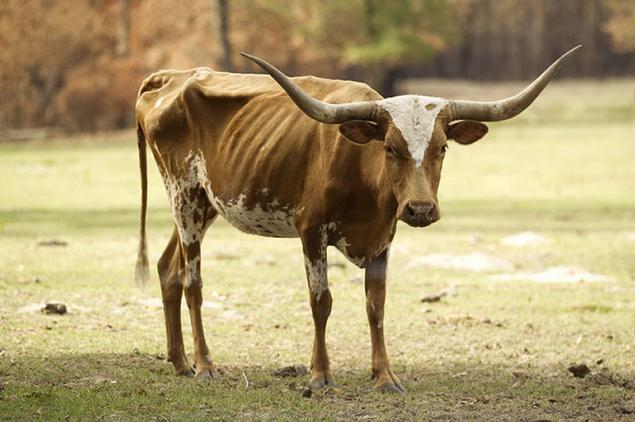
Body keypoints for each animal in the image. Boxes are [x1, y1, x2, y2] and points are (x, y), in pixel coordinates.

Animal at [134, 46, 580, 392]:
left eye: (442, 147)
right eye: (390, 147)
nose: (420, 209)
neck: (364, 179)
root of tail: (169, 78)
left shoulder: (384, 236)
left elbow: (375, 305)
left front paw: (384, 377)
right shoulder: (311, 231)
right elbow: (321, 302)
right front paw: (319, 375)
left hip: (203, 204)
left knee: (168, 269)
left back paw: (180, 363)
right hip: (184, 196)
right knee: (192, 281)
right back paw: (205, 365)